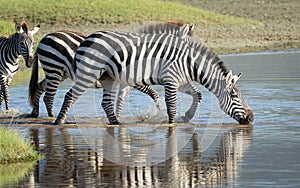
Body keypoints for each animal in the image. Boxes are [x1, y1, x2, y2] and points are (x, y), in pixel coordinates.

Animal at [28, 22, 195, 118]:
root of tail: (44, 38)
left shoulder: (125, 82)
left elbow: (120, 101)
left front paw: (117, 119)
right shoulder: (134, 80)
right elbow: (153, 93)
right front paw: (159, 111)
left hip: (58, 72)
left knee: (39, 87)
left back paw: (35, 113)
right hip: (54, 69)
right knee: (48, 95)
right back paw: (52, 116)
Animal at [54, 29, 253, 126]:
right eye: (235, 96)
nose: (251, 119)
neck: (189, 63)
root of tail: (87, 38)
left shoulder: (181, 82)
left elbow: (197, 94)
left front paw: (187, 116)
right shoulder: (171, 80)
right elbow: (171, 105)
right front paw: (172, 124)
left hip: (107, 77)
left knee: (105, 103)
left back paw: (116, 123)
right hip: (89, 73)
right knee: (69, 95)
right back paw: (59, 122)